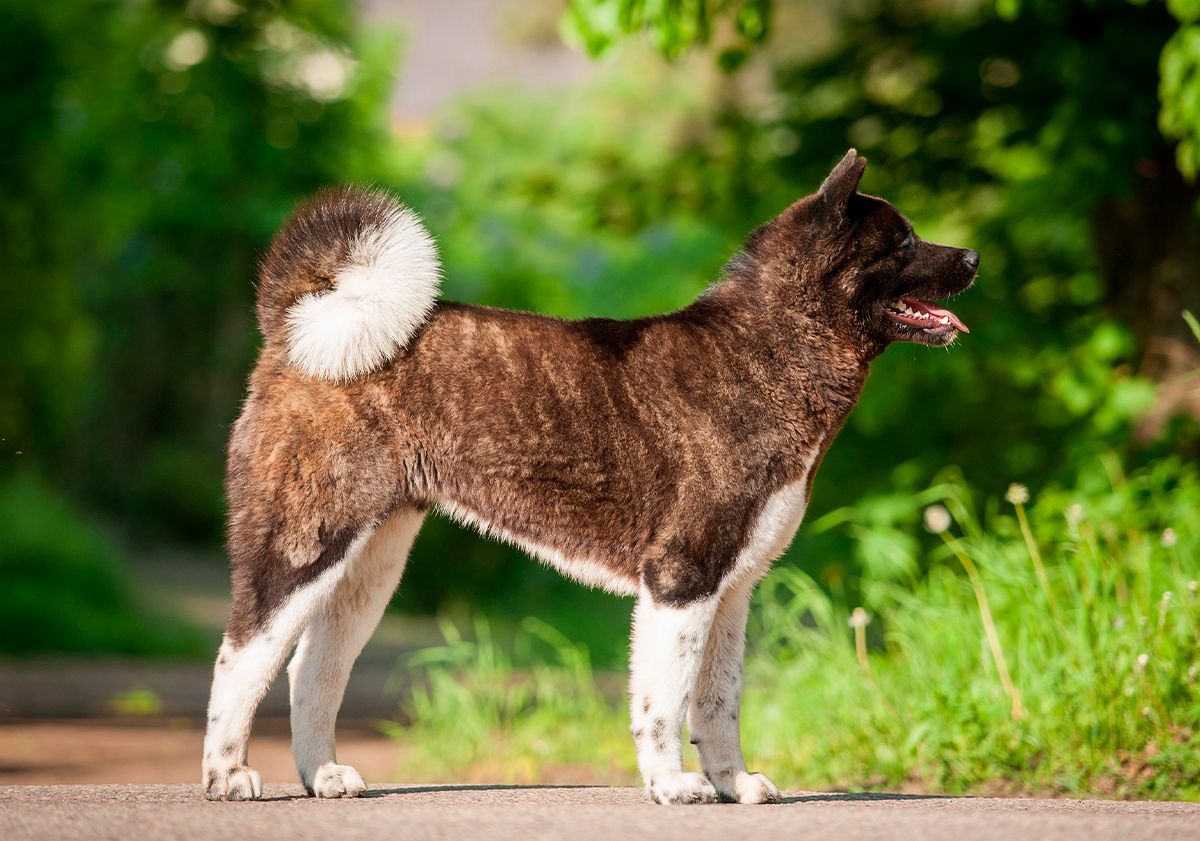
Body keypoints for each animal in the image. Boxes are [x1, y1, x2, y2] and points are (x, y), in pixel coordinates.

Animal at [204, 149, 974, 801]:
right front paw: (674, 786)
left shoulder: (731, 591)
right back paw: (227, 775)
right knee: (242, 655)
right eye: (902, 244)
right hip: (302, 544)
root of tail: (299, 325)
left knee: (311, 667)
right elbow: (665, 702)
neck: (770, 350)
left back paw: (322, 775)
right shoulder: (682, 581)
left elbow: (718, 701)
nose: (970, 256)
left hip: (370, 564)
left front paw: (734, 783)